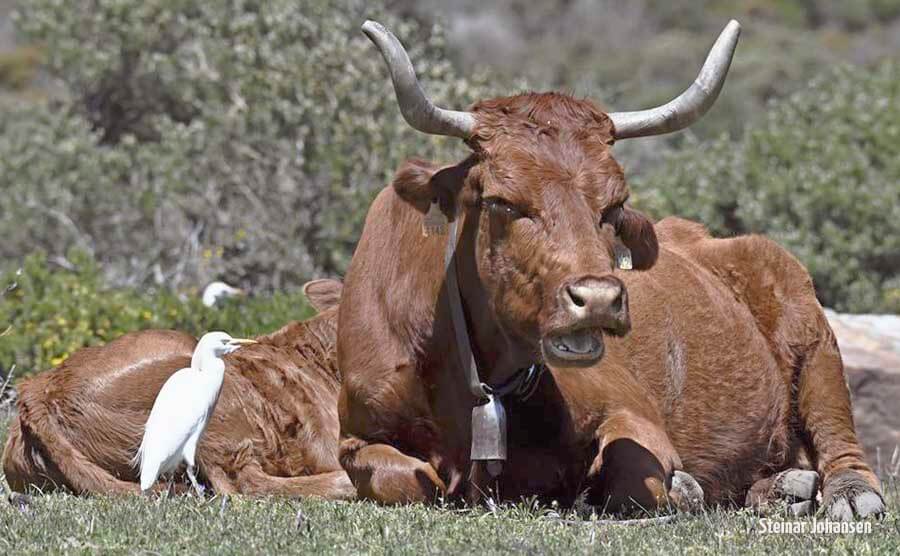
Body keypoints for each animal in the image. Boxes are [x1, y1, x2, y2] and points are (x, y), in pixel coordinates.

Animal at [334, 19, 884, 520]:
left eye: (614, 205)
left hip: (811, 334)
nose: (598, 298)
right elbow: (401, 477)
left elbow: (633, 476)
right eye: (502, 202)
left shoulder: (629, 412)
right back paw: (781, 488)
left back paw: (849, 493)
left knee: (838, 434)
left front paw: (679, 486)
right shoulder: (355, 437)